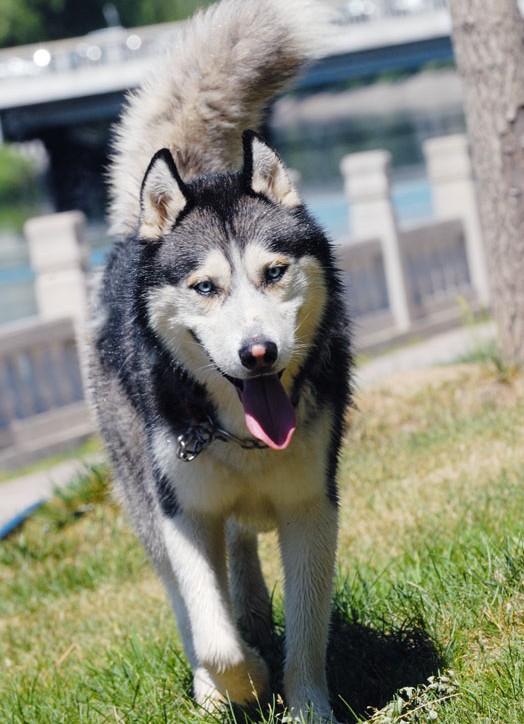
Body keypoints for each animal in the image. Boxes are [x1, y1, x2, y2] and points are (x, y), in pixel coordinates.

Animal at [89, 1, 352, 720]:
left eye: (274, 272)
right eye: (206, 287)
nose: (257, 353)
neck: (241, 433)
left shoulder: (311, 505)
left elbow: (309, 631)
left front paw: (306, 704)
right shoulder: (182, 511)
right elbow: (214, 635)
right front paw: (245, 679)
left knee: (241, 547)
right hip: (142, 493)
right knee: (191, 603)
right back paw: (213, 680)